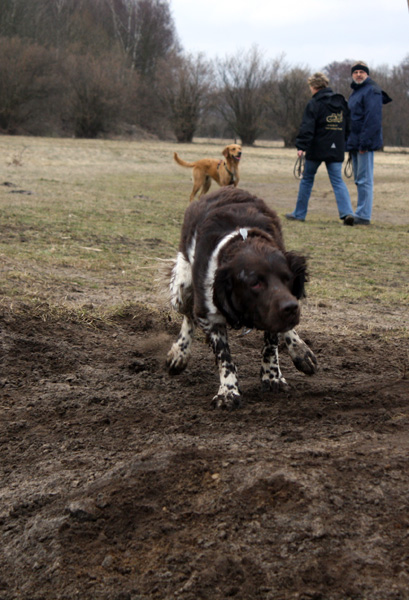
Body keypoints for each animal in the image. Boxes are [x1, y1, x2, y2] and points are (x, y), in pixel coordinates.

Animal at [166, 188, 316, 408]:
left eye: (287, 278)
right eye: (255, 283)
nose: (291, 307)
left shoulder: (273, 312)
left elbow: (271, 342)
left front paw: (272, 376)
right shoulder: (209, 315)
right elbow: (224, 356)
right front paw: (228, 391)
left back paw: (301, 351)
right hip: (183, 288)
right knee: (187, 315)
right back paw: (179, 353)